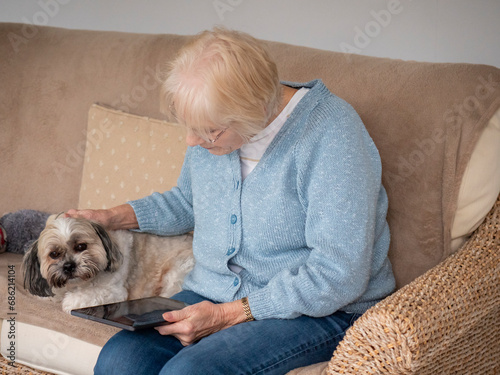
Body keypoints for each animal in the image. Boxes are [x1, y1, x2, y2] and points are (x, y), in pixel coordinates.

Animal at [22, 214, 193, 314]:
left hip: (176, 273)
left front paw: (69, 301)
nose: (69, 265)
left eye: (81, 246)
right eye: (54, 254)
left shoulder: (114, 292)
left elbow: (80, 298)